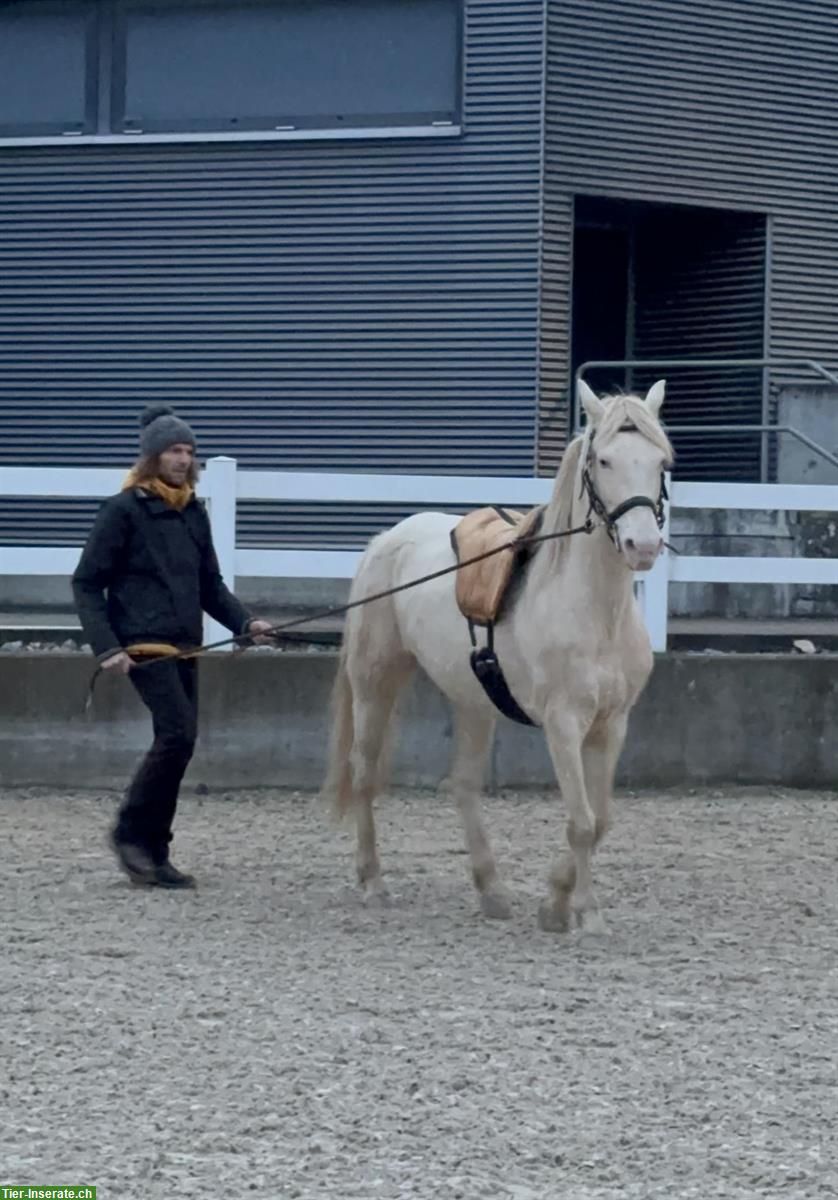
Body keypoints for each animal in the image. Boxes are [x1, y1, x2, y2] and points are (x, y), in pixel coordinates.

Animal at [321, 379, 672, 931]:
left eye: (661, 461)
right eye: (604, 460)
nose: (644, 545)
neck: (597, 611)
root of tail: (388, 539)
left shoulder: (612, 724)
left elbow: (600, 820)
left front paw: (559, 901)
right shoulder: (563, 723)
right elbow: (581, 821)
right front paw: (577, 911)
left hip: (474, 702)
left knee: (463, 785)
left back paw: (491, 890)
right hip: (376, 683)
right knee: (363, 774)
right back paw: (373, 881)